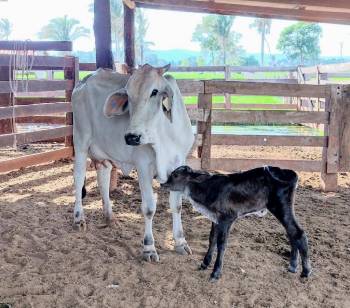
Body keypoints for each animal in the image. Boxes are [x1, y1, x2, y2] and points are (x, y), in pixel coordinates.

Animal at [72, 63, 194, 262]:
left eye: (154, 92)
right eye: (128, 95)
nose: (132, 137)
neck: (164, 137)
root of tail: (85, 80)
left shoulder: (178, 165)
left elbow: (177, 206)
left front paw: (181, 242)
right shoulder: (143, 166)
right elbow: (149, 208)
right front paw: (149, 248)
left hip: (103, 153)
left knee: (103, 178)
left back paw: (110, 217)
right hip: (80, 142)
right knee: (78, 178)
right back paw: (78, 218)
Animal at [161, 166, 312, 282]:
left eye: (175, 175)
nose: (162, 183)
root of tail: (289, 172)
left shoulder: (227, 218)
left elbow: (222, 244)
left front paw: (215, 273)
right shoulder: (216, 219)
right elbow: (212, 239)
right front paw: (204, 264)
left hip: (281, 207)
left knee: (299, 233)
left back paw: (306, 271)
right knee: (291, 233)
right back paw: (293, 266)